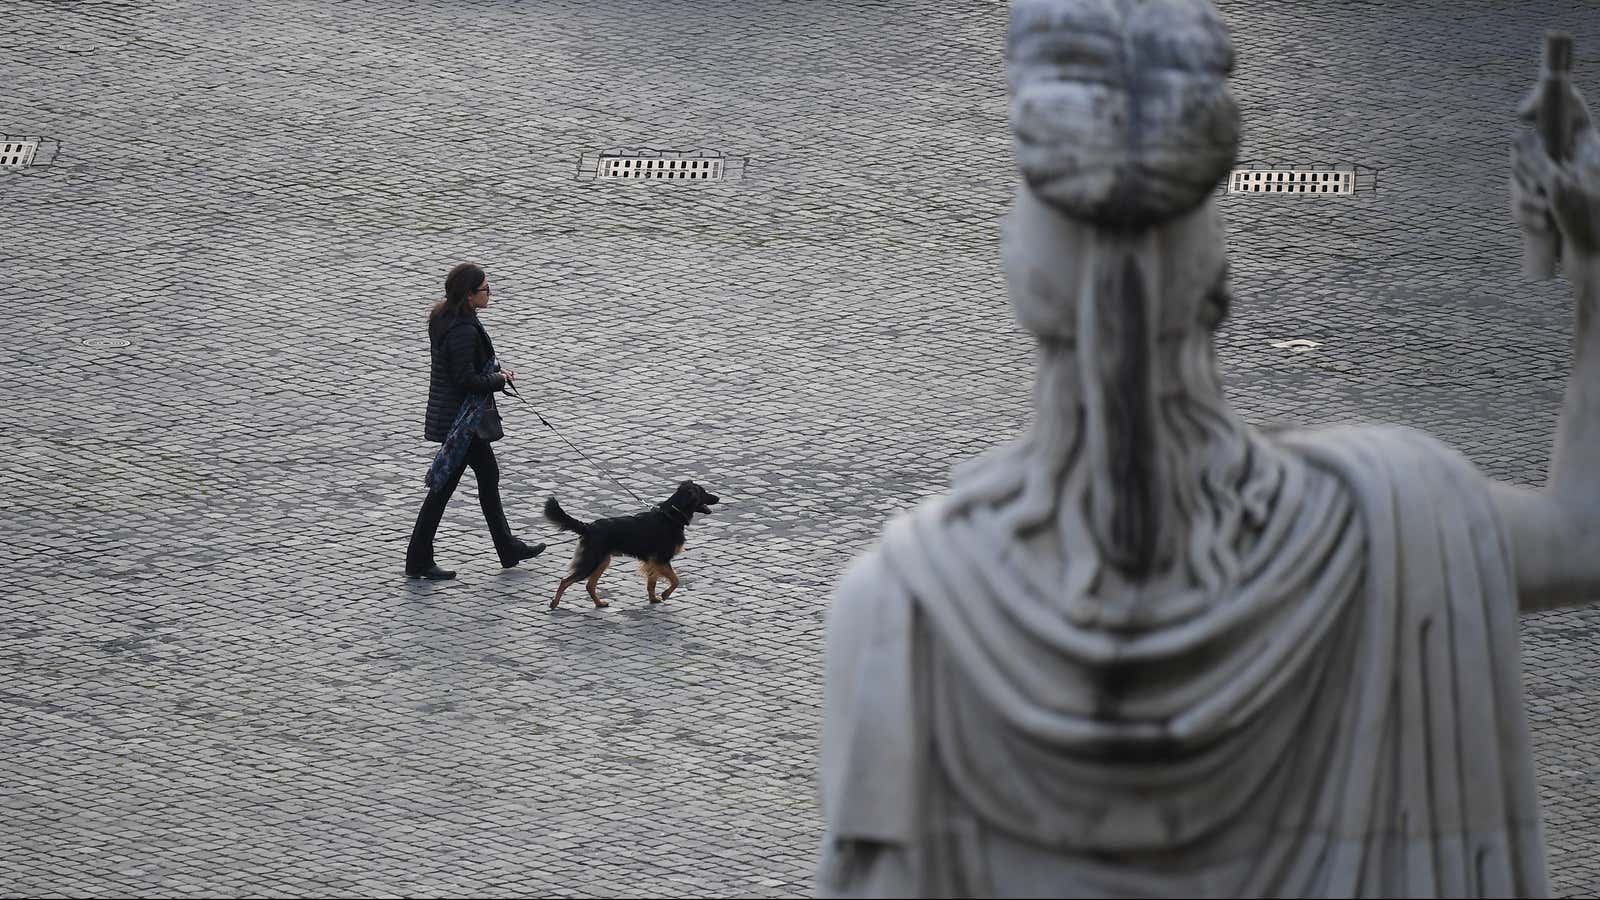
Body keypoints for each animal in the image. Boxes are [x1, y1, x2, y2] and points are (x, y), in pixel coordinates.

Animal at [544, 480, 720, 605]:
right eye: (704, 492)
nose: (718, 498)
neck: (671, 515)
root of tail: (588, 527)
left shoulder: (654, 561)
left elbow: (652, 583)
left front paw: (653, 599)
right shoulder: (662, 559)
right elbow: (676, 580)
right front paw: (665, 594)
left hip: (602, 561)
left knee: (589, 585)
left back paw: (599, 603)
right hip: (591, 563)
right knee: (565, 581)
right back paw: (554, 603)